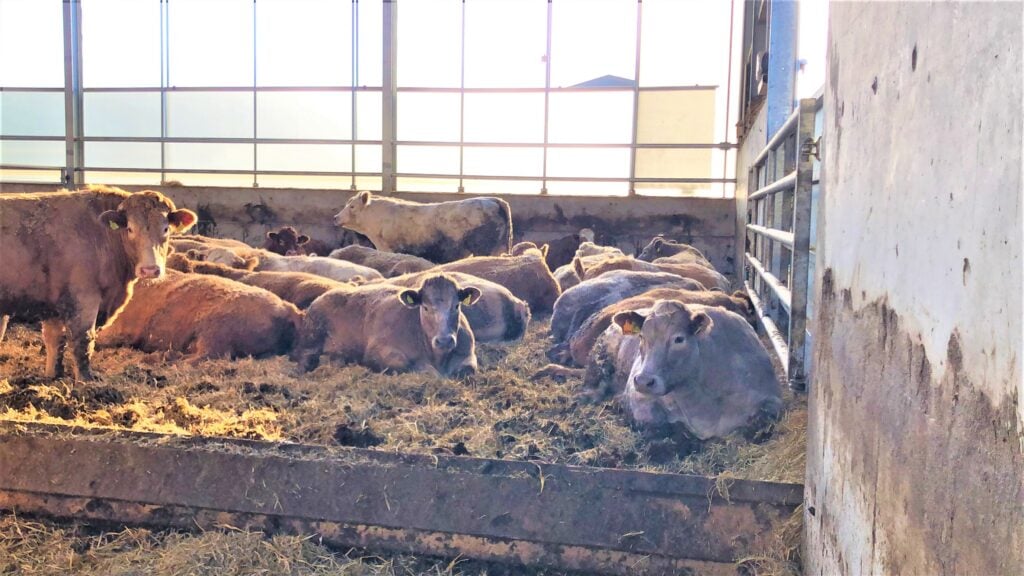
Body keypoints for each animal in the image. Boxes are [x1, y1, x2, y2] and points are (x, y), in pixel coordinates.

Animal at [0, 186, 197, 380]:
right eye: (130, 228)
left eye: (165, 229)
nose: (149, 269)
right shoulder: (84, 298)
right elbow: (83, 340)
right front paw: (86, 380)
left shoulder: (54, 304)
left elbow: (54, 341)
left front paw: (52, 376)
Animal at [292, 274, 480, 377]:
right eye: (425, 307)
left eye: (456, 305)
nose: (444, 341)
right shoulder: (378, 351)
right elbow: (415, 367)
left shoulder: (468, 353)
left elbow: (468, 369)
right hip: (311, 339)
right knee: (304, 357)